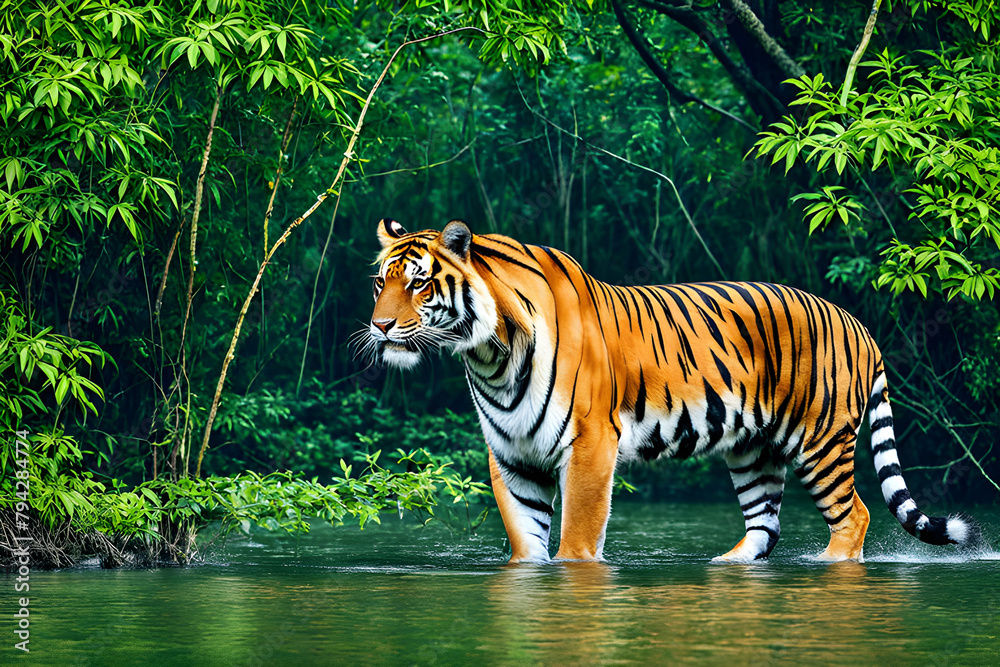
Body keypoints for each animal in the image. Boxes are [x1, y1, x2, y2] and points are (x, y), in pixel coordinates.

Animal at [361, 217, 979, 563]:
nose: (381, 326)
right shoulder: (513, 456)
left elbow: (576, 540)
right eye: (380, 282)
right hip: (753, 451)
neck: (491, 354)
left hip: (820, 441)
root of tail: (859, 323)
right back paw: (724, 567)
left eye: (419, 283)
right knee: (765, 525)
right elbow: (526, 544)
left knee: (854, 518)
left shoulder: (589, 446)